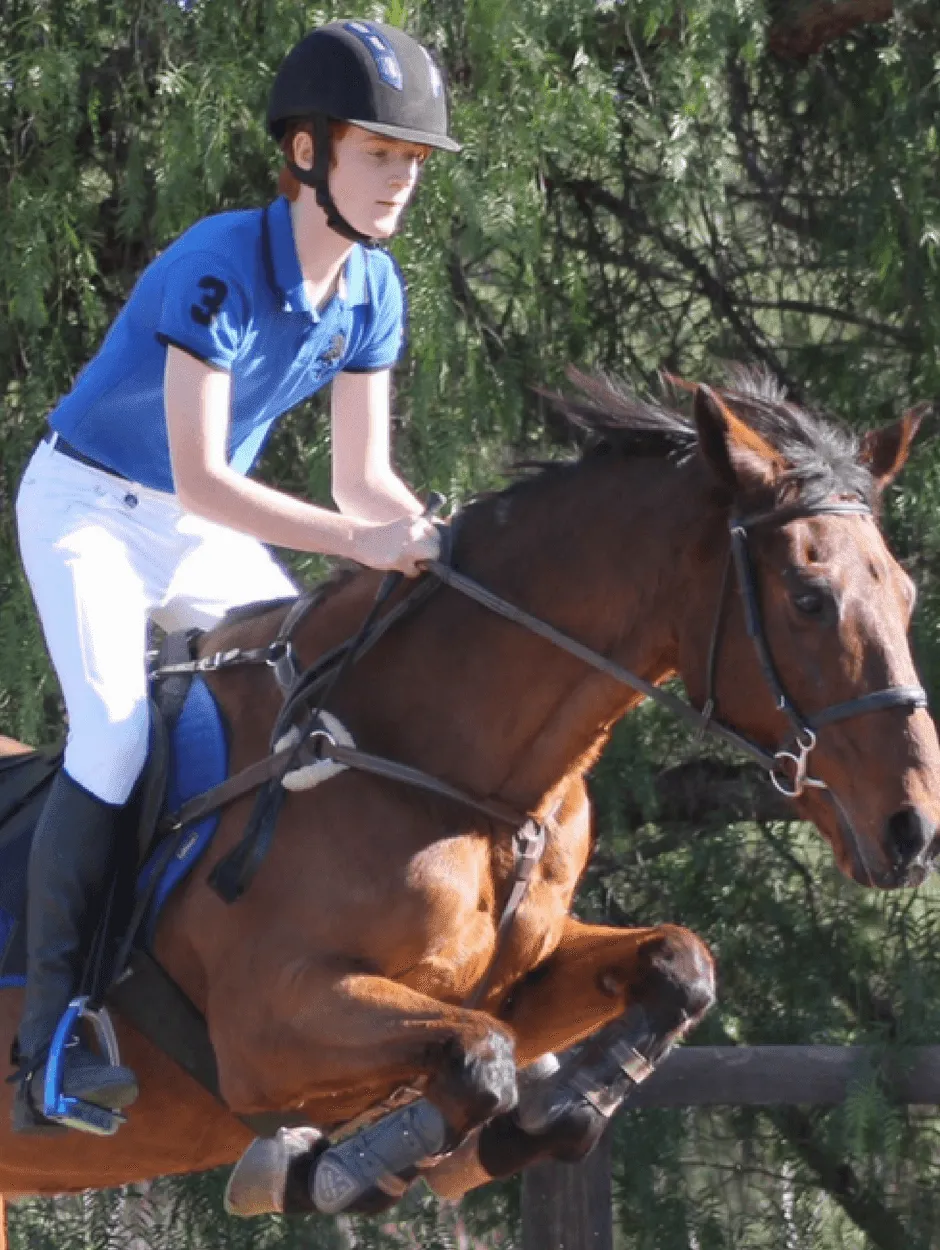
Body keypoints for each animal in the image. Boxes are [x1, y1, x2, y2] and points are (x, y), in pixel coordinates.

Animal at [0, 367, 935, 1220]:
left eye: (905, 591)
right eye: (809, 600)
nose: (913, 831)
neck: (452, 774)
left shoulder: (526, 971)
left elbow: (678, 966)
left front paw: (551, 1113)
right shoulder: (265, 1026)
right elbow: (483, 1058)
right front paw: (344, 1167)